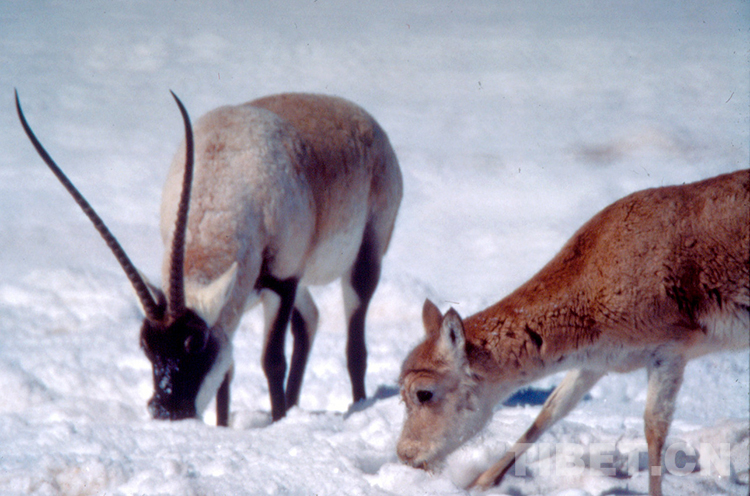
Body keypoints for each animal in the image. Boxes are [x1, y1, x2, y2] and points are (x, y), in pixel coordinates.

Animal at [16, 90, 406, 426]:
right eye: (146, 344)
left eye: (194, 341)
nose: (166, 410)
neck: (225, 183)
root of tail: (366, 122)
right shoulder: (246, 299)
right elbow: (227, 373)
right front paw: (223, 427)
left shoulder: (282, 280)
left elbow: (271, 361)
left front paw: (275, 423)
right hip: (299, 284)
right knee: (308, 320)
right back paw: (294, 407)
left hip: (362, 257)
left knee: (354, 343)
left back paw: (354, 406)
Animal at [396, 170, 748, 496]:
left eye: (424, 393)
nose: (404, 455)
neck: (594, 281)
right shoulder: (595, 362)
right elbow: (549, 411)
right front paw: (481, 482)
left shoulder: (670, 352)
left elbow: (654, 428)